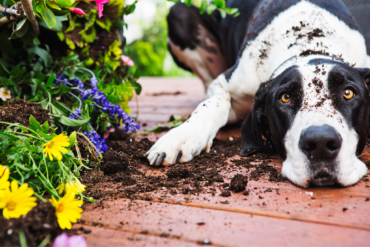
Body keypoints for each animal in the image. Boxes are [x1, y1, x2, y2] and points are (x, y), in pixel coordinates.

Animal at [145, 0, 370, 187]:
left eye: (348, 93)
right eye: (285, 98)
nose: (321, 143)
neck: (310, 43)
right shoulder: (225, 84)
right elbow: (214, 103)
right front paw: (182, 135)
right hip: (178, 14)